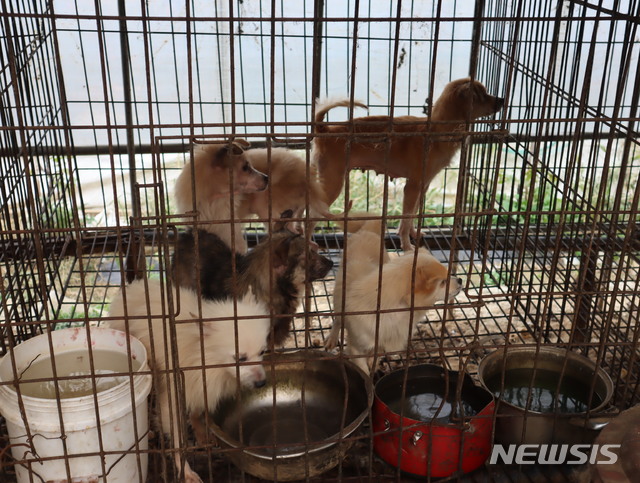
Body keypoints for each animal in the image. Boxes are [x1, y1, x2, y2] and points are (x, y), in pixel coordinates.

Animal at [107, 280, 270, 483]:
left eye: (263, 352)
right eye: (240, 358)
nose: (261, 383)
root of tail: (132, 288)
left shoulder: (199, 387)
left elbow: (197, 411)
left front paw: (200, 432)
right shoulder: (173, 400)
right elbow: (178, 440)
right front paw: (185, 470)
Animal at [312, 77, 502, 251]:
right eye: (481, 96)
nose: (502, 100)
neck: (436, 131)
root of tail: (325, 130)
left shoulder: (422, 187)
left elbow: (411, 215)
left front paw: (413, 234)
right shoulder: (412, 188)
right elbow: (405, 219)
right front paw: (407, 246)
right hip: (332, 184)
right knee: (312, 214)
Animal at [328, 220, 462, 374]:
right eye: (443, 282)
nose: (460, 280)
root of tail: (366, 231)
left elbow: (376, 353)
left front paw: (373, 362)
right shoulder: (356, 348)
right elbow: (364, 371)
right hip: (338, 299)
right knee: (338, 320)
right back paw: (331, 338)